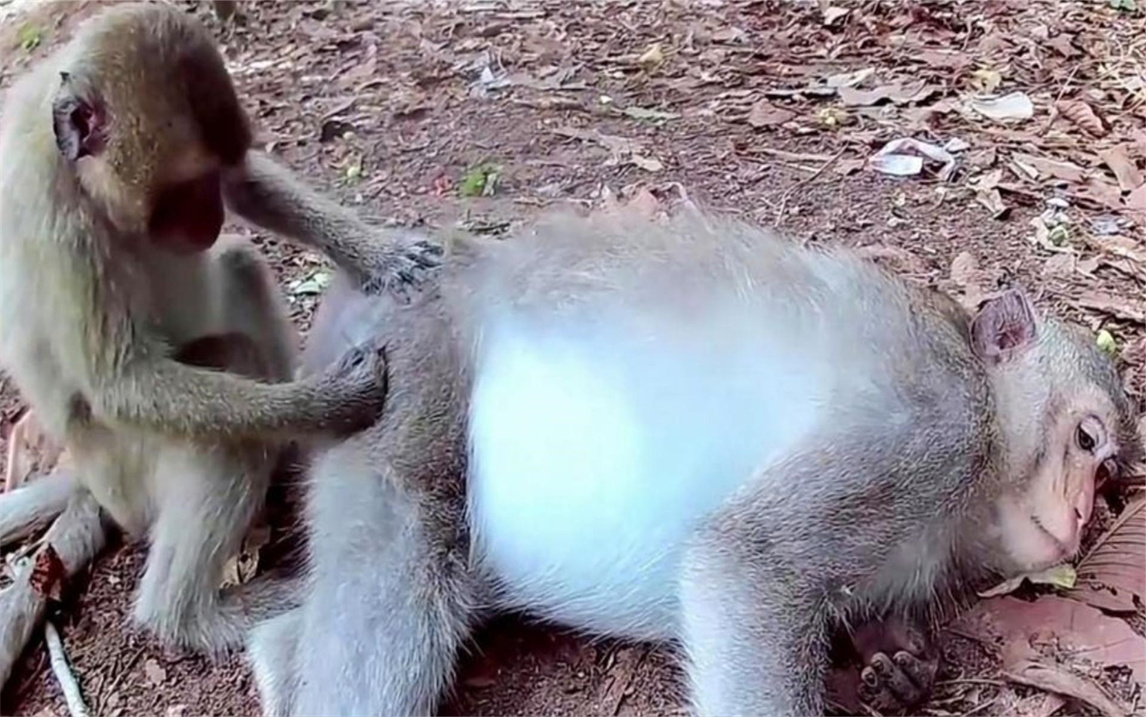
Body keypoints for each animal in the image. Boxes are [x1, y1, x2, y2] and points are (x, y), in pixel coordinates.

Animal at [0, 4, 435, 655]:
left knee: (240, 263)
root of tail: (92, 483)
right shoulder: (56, 223)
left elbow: (248, 186)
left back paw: (288, 452)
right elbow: (120, 382)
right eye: (185, 188)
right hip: (129, 477)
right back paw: (189, 616)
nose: (209, 215)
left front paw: (378, 251)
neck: (75, 173)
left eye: (214, 176)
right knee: (224, 413)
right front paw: (334, 402)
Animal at [248, 203, 1136, 710]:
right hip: (407, 362)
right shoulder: (932, 422)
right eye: (1086, 439)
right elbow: (752, 558)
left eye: (1110, 479)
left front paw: (901, 663)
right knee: (407, 538)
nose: (1083, 512)